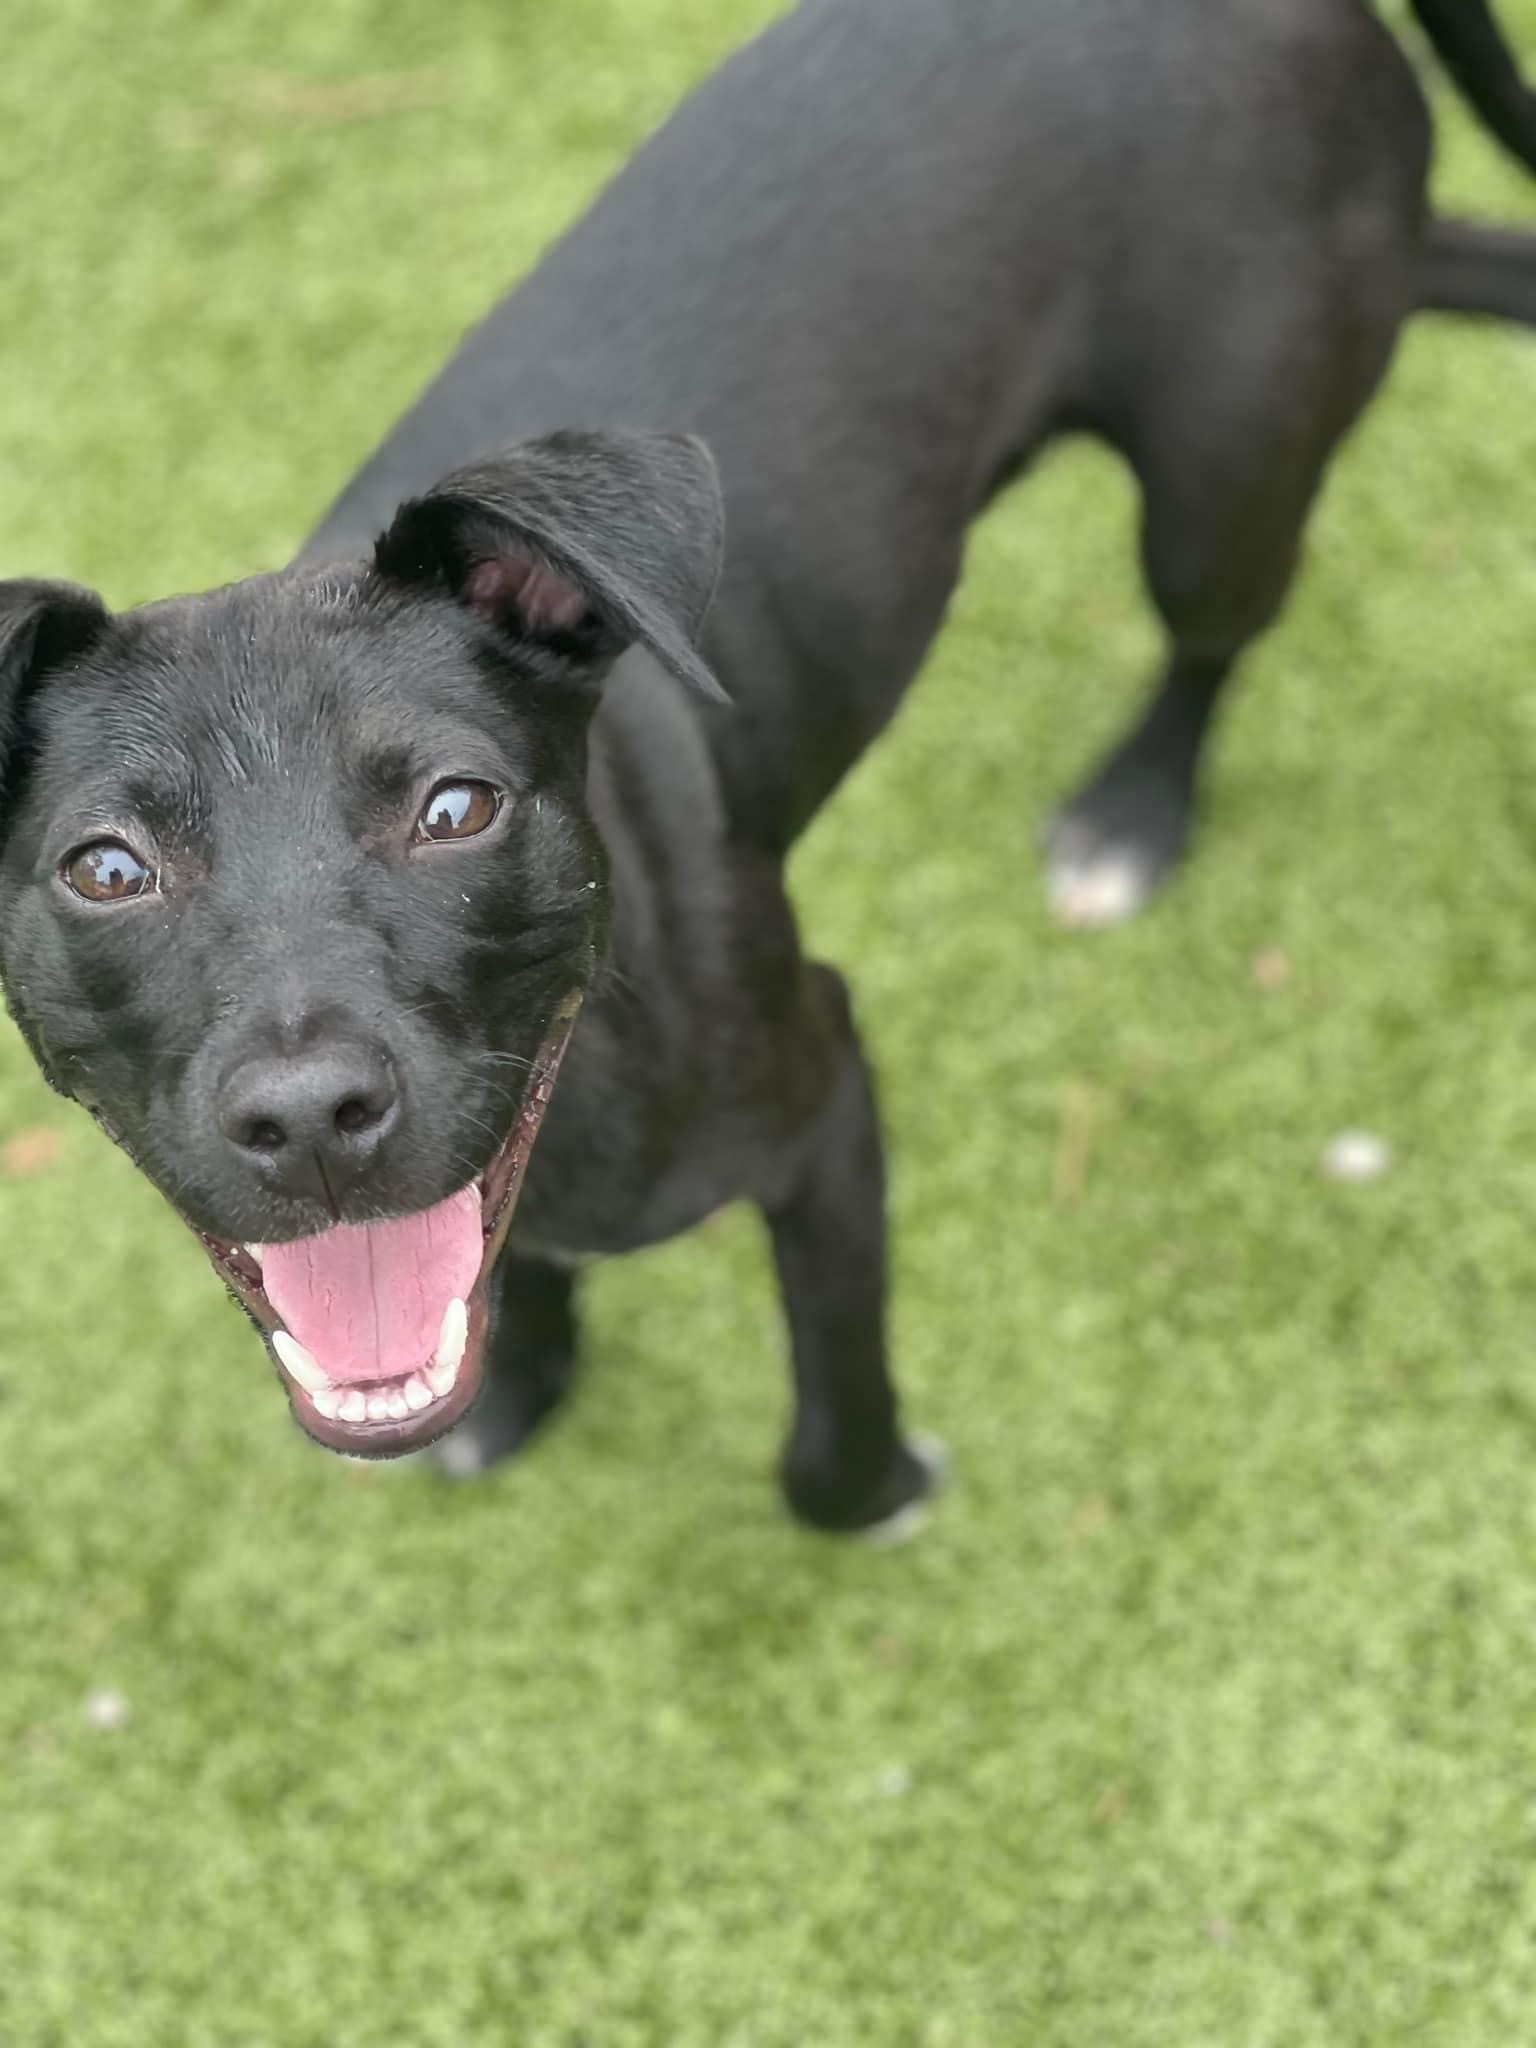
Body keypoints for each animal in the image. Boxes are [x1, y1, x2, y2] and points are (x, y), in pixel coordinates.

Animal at [0, 0, 1531, 1540]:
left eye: (456, 807)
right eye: (107, 868)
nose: (310, 1117)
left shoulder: (824, 1099)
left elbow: (826, 1407)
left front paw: (877, 1493)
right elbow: (497, 1253)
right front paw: (518, 1388)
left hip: (1222, 480)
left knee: (1212, 632)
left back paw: (1131, 817)